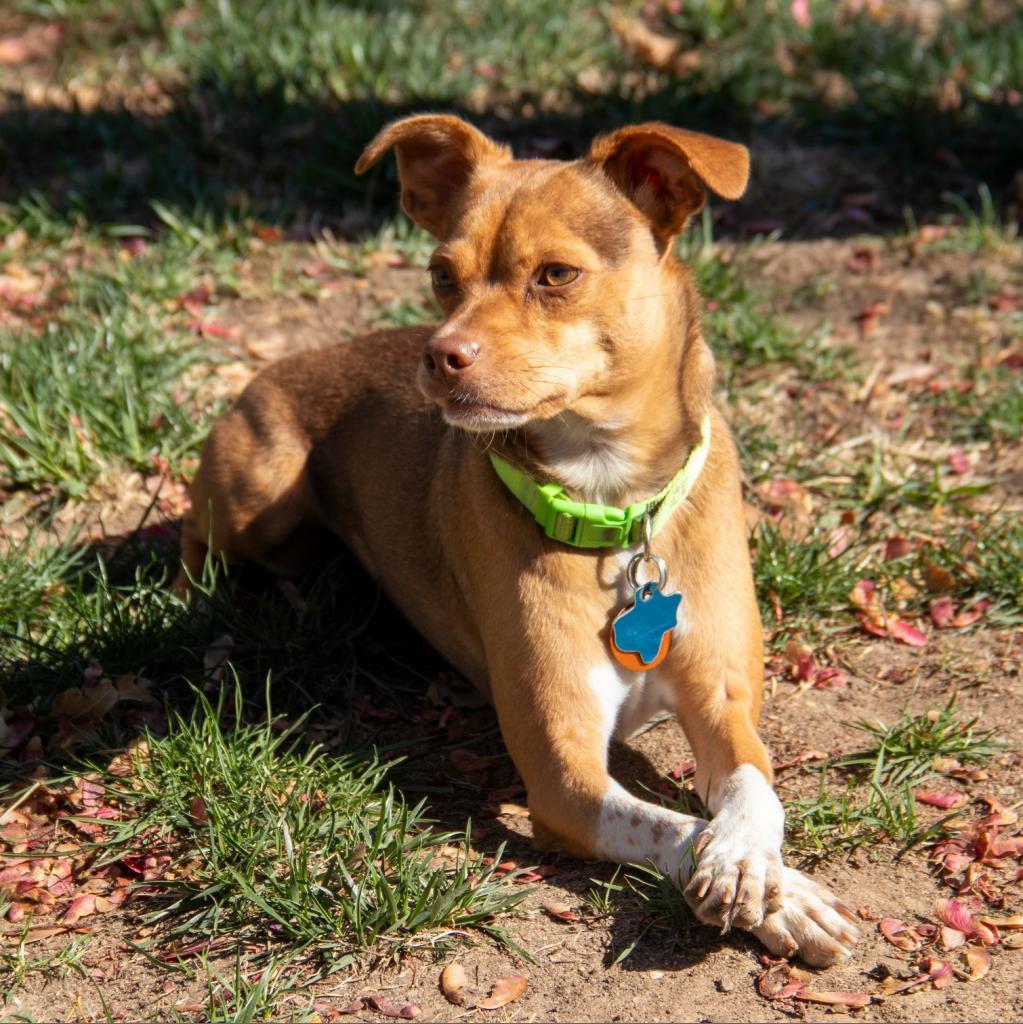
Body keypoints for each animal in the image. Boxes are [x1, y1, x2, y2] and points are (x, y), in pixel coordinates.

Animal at [176, 116, 856, 962]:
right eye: (441, 273)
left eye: (556, 275)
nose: (439, 356)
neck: (610, 505)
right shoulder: (564, 780)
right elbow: (675, 827)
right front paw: (779, 892)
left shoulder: (721, 698)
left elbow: (750, 791)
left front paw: (751, 868)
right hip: (258, 501)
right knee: (193, 535)